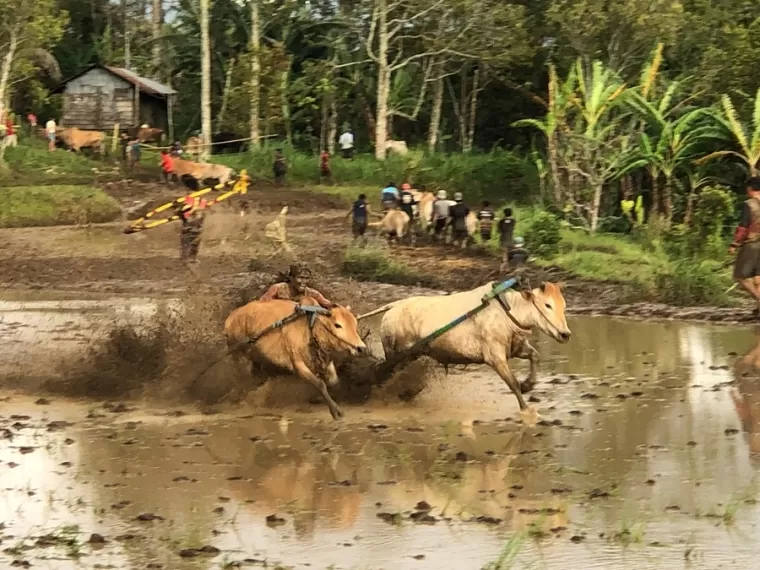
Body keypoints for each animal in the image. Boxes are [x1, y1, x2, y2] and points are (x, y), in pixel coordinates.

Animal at [221, 298, 366, 418]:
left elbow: (334, 382)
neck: (309, 328)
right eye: (337, 325)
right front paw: (336, 411)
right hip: (238, 353)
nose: (361, 348)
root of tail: (231, 317)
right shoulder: (298, 364)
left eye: (355, 324)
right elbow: (320, 383)